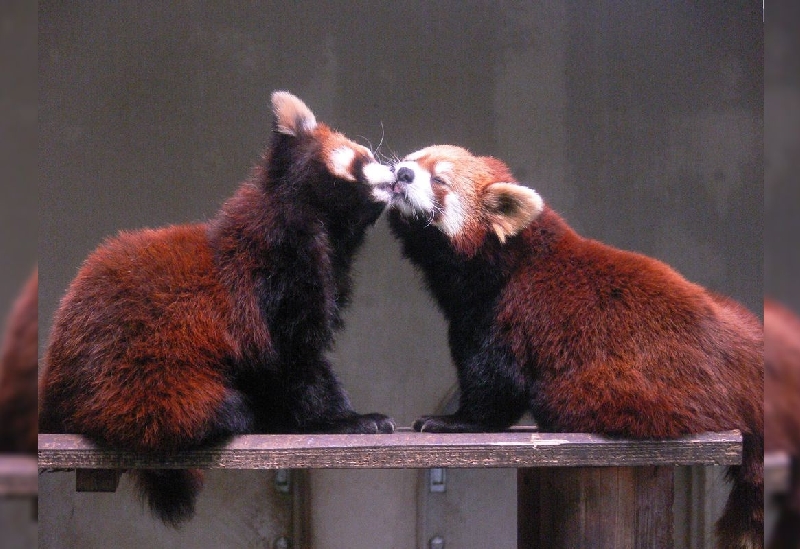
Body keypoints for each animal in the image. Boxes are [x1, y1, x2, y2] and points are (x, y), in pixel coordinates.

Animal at [40, 92, 396, 524]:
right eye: (363, 158)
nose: (397, 173)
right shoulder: (276, 281)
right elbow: (295, 364)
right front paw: (347, 420)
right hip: (134, 365)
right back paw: (232, 415)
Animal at [390, 144, 764, 548]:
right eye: (411, 159)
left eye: (439, 180)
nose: (402, 173)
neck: (504, 263)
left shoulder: (507, 313)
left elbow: (498, 386)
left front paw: (453, 421)